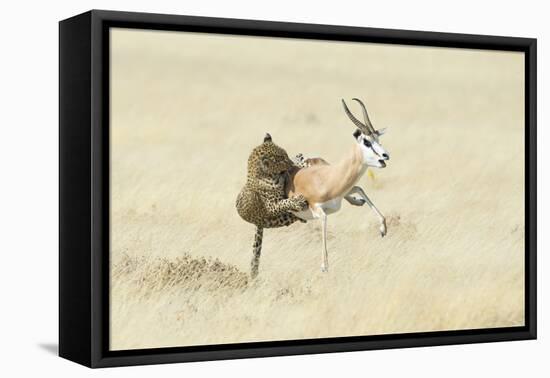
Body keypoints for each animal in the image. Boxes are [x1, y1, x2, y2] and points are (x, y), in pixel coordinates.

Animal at [238, 133, 312, 278]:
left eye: (286, 155)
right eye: (282, 159)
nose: (290, 164)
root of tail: (257, 224)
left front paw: (298, 159)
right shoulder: (271, 205)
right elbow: (284, 203)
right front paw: (298, 201)